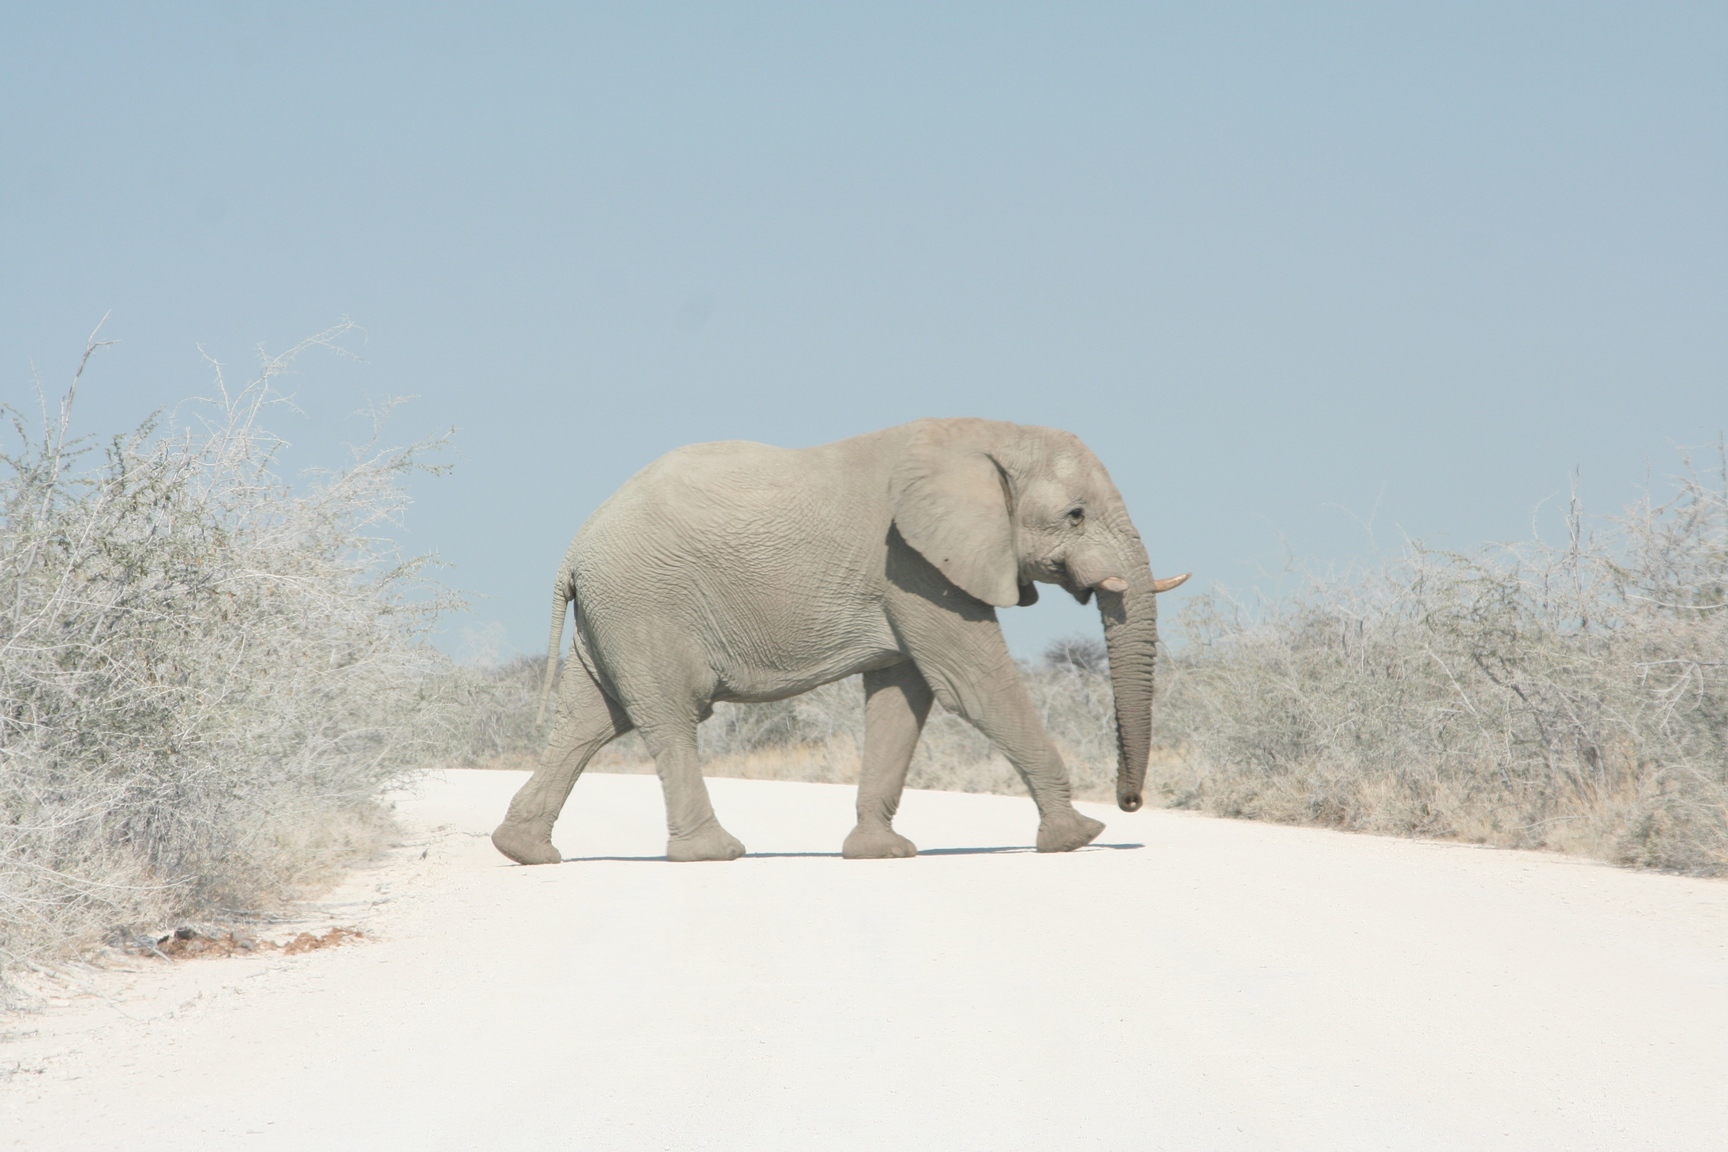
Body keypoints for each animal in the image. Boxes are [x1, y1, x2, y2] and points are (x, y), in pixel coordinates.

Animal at [490, 416, 1188, 863]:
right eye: (1075, 515)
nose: (1131, 803)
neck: (984, 435)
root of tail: (575, 549)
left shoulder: (911, 576)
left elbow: (903, 700)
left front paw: (881, 854)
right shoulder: (914, 564)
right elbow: (973, 686)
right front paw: (1079, 836)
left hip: (615, 612)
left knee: (588, 718)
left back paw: (523, 851)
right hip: (645, 603)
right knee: (667, 717)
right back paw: (715, 854)